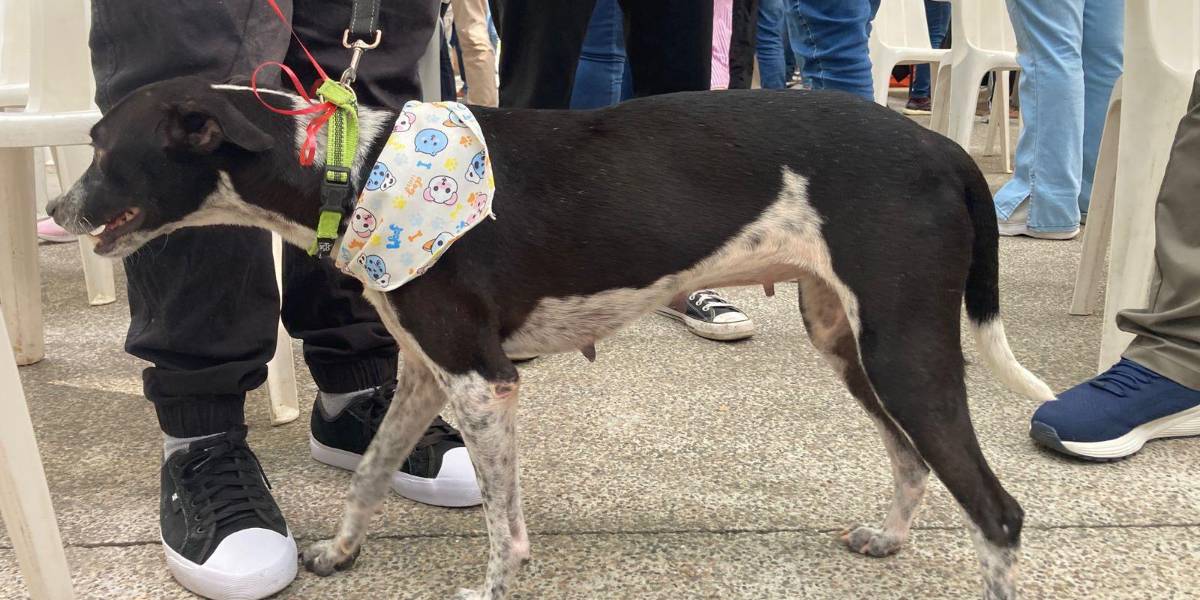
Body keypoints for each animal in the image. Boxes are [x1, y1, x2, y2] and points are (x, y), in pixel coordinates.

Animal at [49, 76, 1054, 599]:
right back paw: (889, 537)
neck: (353, 166)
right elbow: (370, 472)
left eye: (102, 149)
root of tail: (945, 150)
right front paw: (339, 552)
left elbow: (506, 524)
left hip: (906, 349)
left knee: (996, 508)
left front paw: (493, 587)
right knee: (913, 459)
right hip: (847, 342)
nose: (57, 209)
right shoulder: (426, 375)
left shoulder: (483, 380)